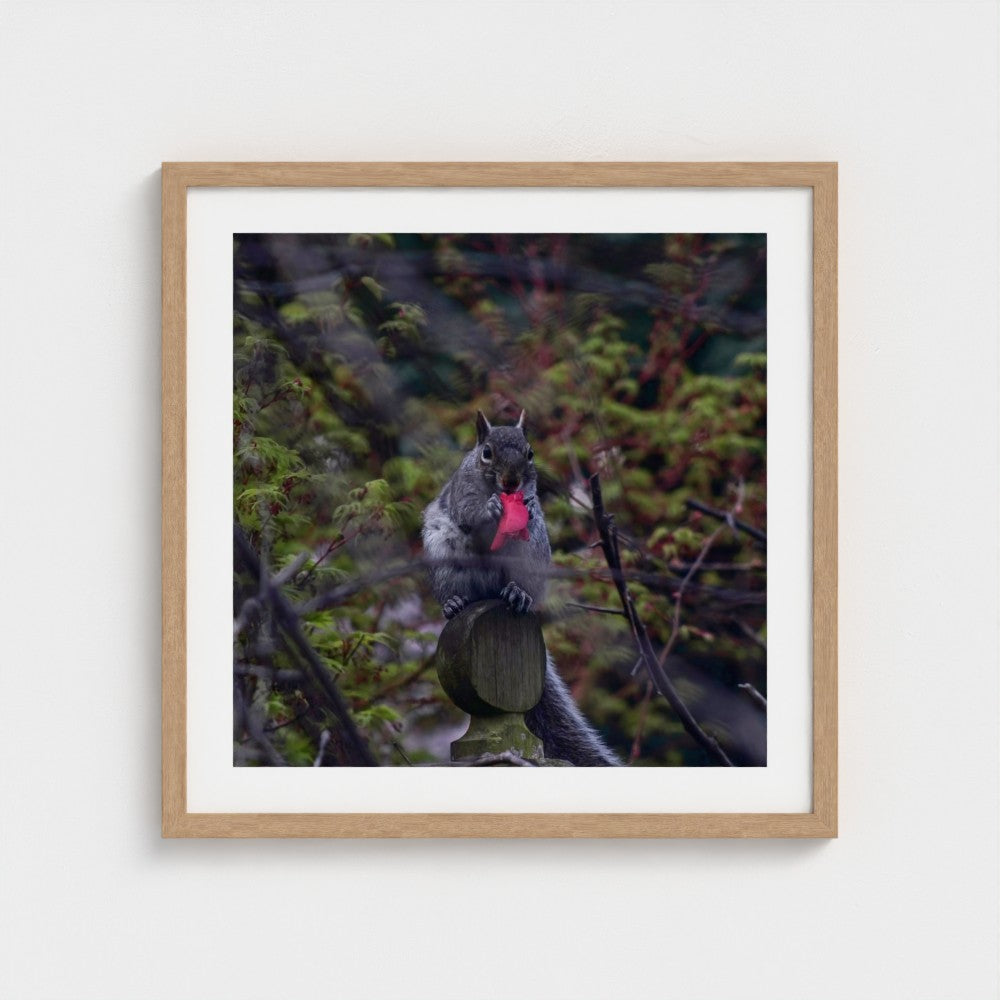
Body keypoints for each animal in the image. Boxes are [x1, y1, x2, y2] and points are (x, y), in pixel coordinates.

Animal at [422, 410, 620, 766]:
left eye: (530, 453)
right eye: (486, 452)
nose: (512, 482)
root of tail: (489, 595)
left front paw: (523, 506)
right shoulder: (462, 494)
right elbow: (468, 513)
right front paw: (488, 510)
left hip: (531, 555)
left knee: (520, 584)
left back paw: (518, 594)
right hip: (445, 559)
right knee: (454, 590)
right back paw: (454, 603)